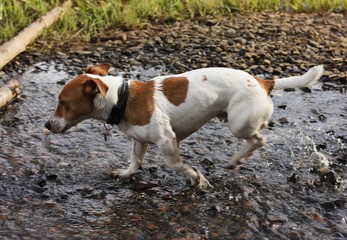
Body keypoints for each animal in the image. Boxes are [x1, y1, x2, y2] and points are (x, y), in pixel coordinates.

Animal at [44, 63, 324, 189]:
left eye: (62, 102)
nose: (46, 125)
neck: (122, 99)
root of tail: (264, 81)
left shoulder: (167, 140)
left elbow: (176, 164)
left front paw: (197, 178)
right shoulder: (139, 140)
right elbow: (135, 161)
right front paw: (125, 174)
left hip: (239, 124)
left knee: (258, 140)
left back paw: (236, 160)